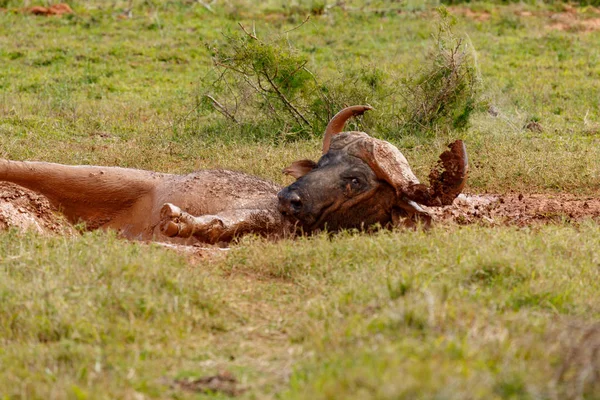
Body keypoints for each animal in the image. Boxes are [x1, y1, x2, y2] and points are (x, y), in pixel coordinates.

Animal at [0, 106, 468, 244]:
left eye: (356, 181)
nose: (289, 198)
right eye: (321, 165)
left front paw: (185, 223)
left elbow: (226, 226)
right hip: (97, 175)